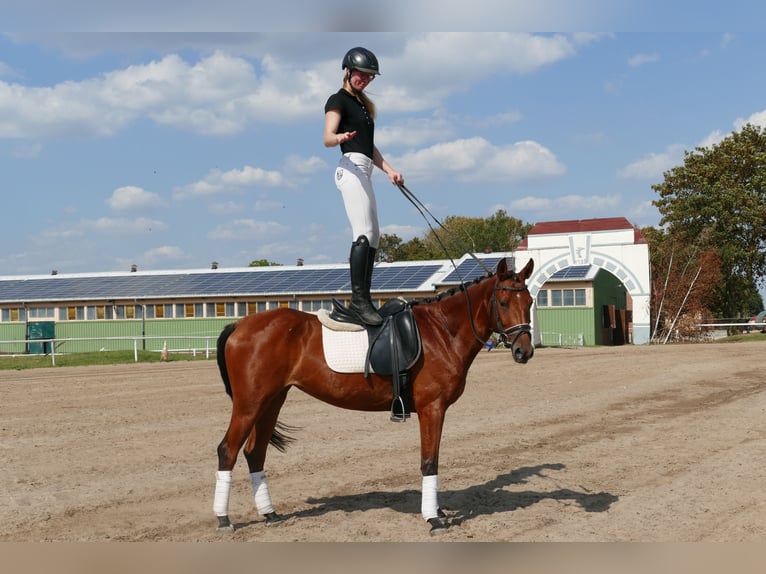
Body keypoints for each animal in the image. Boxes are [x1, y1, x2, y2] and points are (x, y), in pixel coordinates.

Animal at [213, 256, 536, 536]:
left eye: (530, 301)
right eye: (503, 302)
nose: (524, 351)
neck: (441, 331)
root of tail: (240, 324)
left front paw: (437, 510)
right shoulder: (432, 408)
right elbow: (429, 461)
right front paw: (433, 518)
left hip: (272, 401)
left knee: (255, 453)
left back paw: (269, 513)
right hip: (250, 404)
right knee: (227, 451)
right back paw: (224, 519)